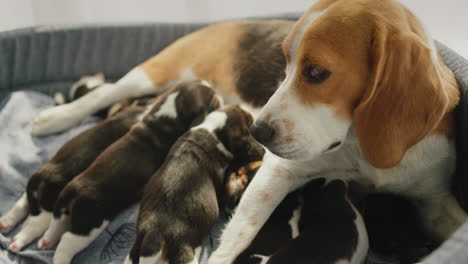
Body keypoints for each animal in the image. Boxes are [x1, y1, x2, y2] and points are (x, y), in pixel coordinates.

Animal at [0, 105, 145, 252]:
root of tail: (42, 177)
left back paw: (6, 223)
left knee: (22, 206)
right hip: (51, 207)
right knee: (35, 224)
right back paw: (20, 241)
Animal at [40, 80, 221, 264]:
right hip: (89, 225)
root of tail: (72, 190)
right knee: (67, 240)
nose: (217, 90)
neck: (171, 111)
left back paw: (45, 241)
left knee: (55, 226)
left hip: (60, 212)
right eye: (213, 99)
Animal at [126, 105, 262, 264]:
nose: (252, 115)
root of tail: (155, 232)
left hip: (134, 249)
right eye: (249, 121)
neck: (213, 130)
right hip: (185, 255)